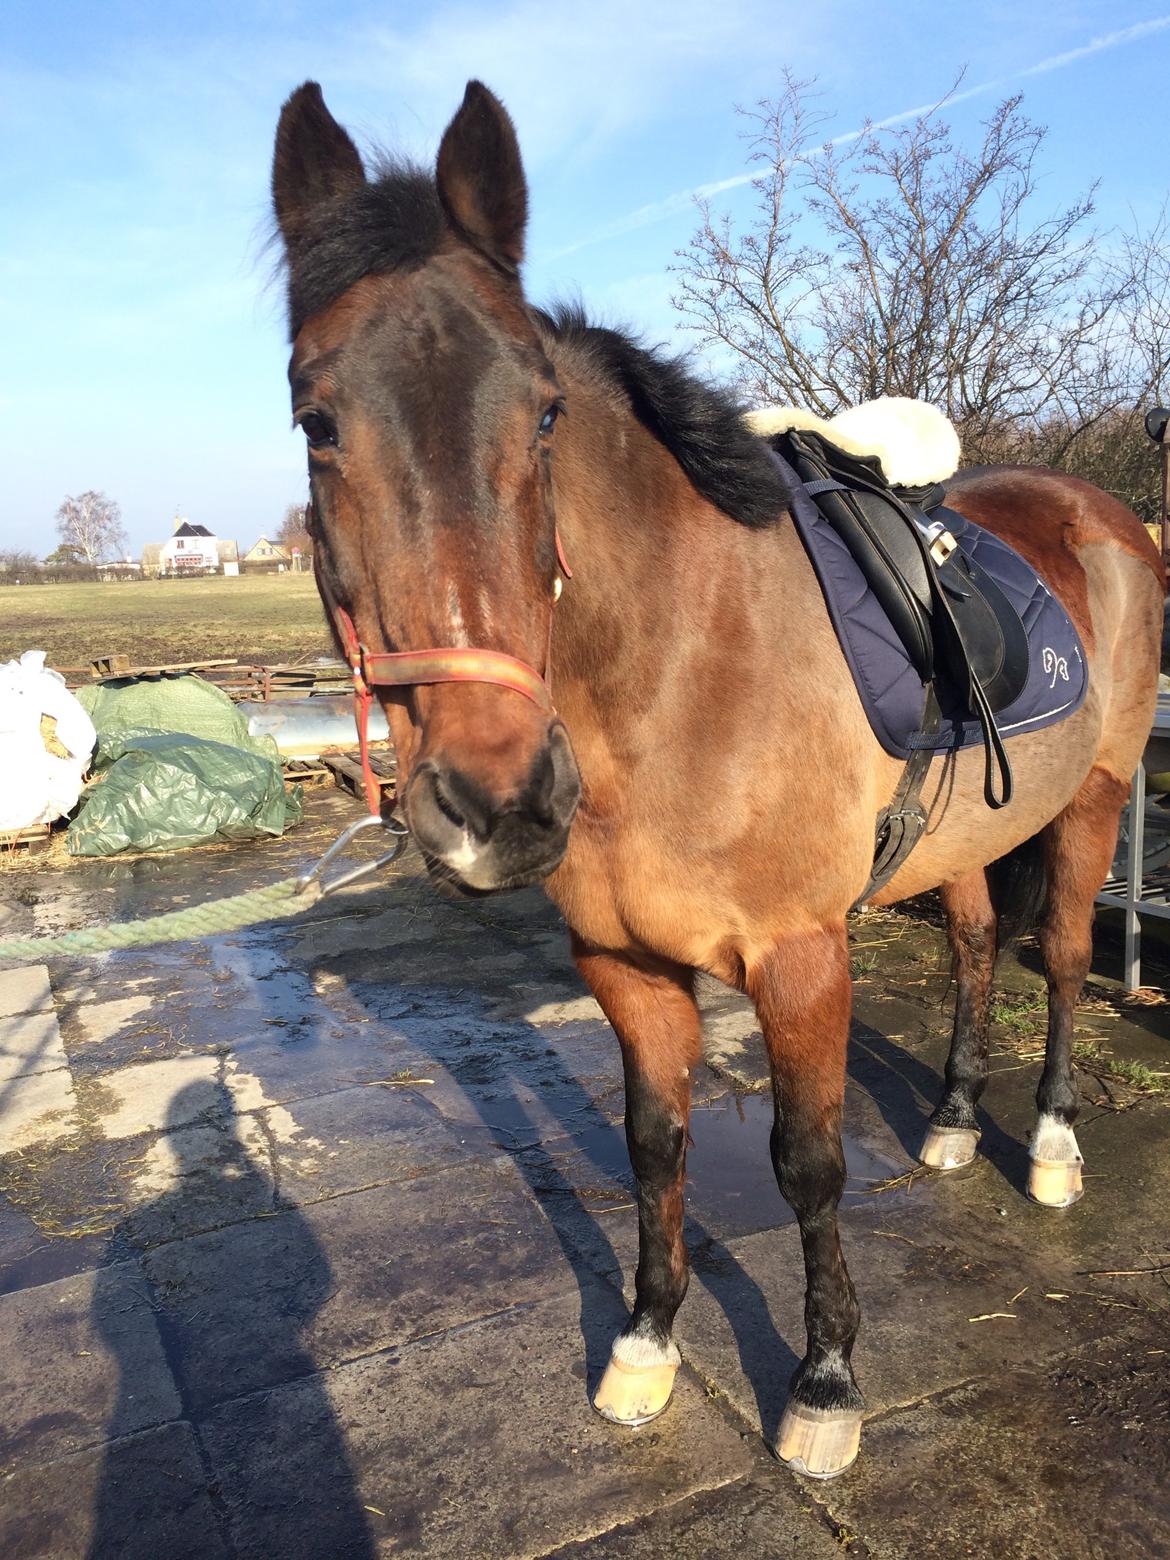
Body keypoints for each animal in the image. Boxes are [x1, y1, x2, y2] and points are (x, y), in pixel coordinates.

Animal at [273, 82, 1166, 1472]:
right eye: (316, 420)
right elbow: (654, 1147)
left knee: (1065, 957)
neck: (675, 672)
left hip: (1099, 794)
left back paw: (1055, 1147)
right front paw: (644, 1344)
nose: (498, 803)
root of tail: (1104, 513)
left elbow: (807, 1162)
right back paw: (956, 1122)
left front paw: (825, 1385)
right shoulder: (624, 966)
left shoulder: (800, 959)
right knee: (975, 943)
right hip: (966, 833)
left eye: (543, 413)